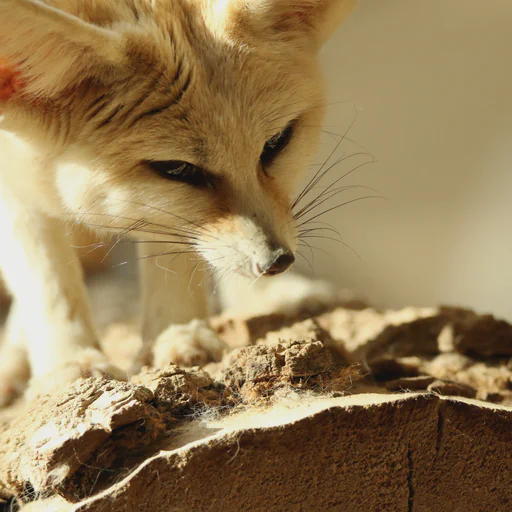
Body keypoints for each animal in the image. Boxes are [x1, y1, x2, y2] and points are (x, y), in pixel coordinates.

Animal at [0, 0, 356, 404]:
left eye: (277, 142)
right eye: (177, 169)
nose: (277, 262)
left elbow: (173, 246)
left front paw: (177, 334)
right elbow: (47, 277)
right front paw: (70, 363)